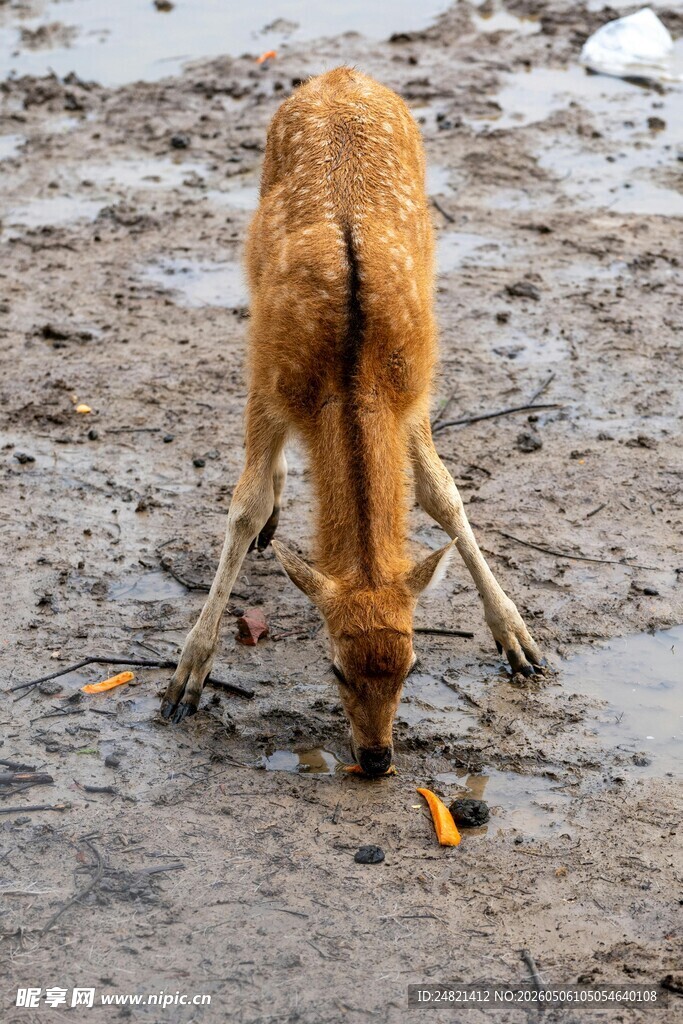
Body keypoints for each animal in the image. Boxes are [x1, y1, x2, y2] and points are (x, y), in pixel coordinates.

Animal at [161, 67, 544, 775]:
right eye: (335, 668)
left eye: (411, 667)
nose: (376, 759)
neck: (346, 371)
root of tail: (341, 75)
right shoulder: (268, 382)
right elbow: (243, 506)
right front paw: (185, 680)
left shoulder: (411, 396)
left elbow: (443, 495)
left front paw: (520, 644)